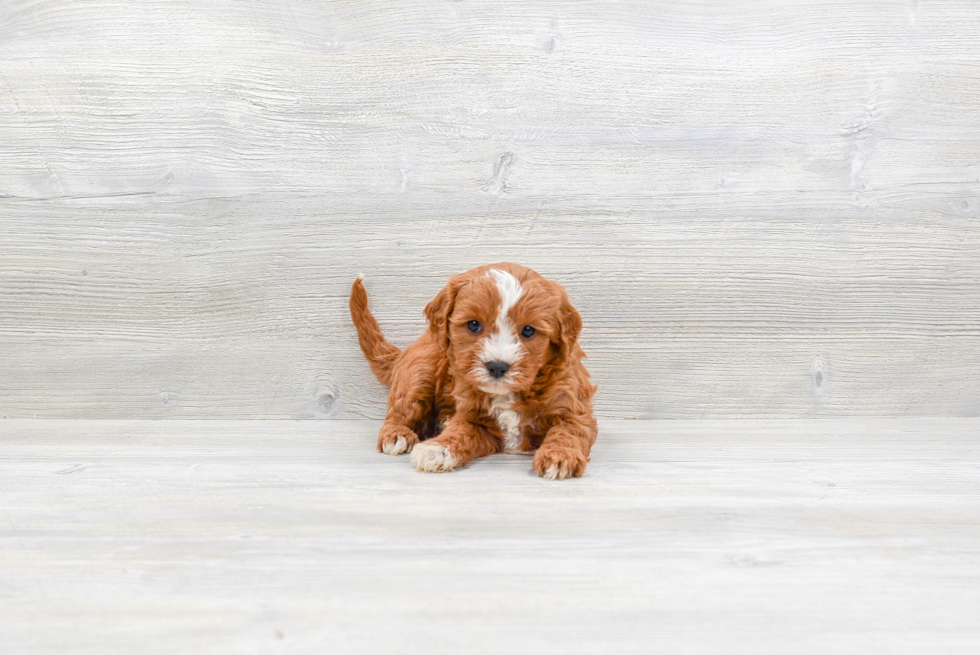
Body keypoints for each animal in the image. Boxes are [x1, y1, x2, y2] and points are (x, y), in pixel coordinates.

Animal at [348, 262, 600, 482]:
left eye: (528, 331)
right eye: (473, 325)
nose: (497, 366)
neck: (511, 392)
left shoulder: (573, 408)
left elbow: (567, 432)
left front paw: (560, 457)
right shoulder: (472, 415)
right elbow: (460, 431)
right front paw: (436, 448)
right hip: (420, 371)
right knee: (401, 410)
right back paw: (397, 434)